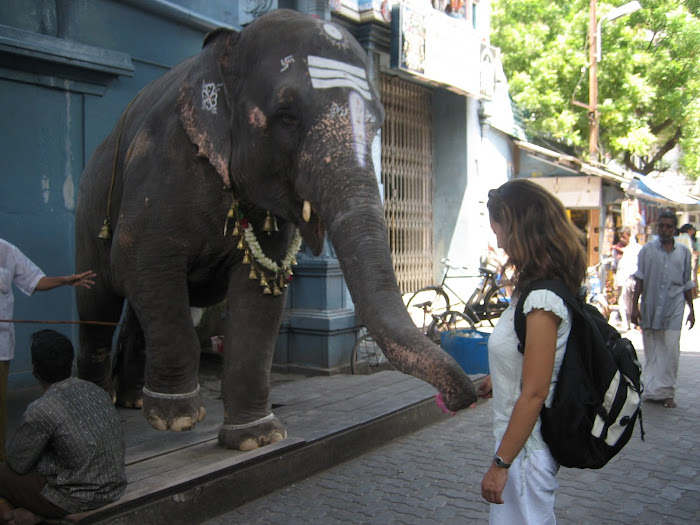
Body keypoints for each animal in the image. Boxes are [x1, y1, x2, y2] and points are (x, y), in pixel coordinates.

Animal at [75, 8, 476, 450]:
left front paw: (256, 438)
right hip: (88, 210)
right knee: (98, 302)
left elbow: (261, 296)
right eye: (287, 116)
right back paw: (98, 406)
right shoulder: (163, 165)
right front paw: (178, 419)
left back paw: (130, 401)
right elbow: (142, 259)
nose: (460, 399)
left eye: (377, 125)